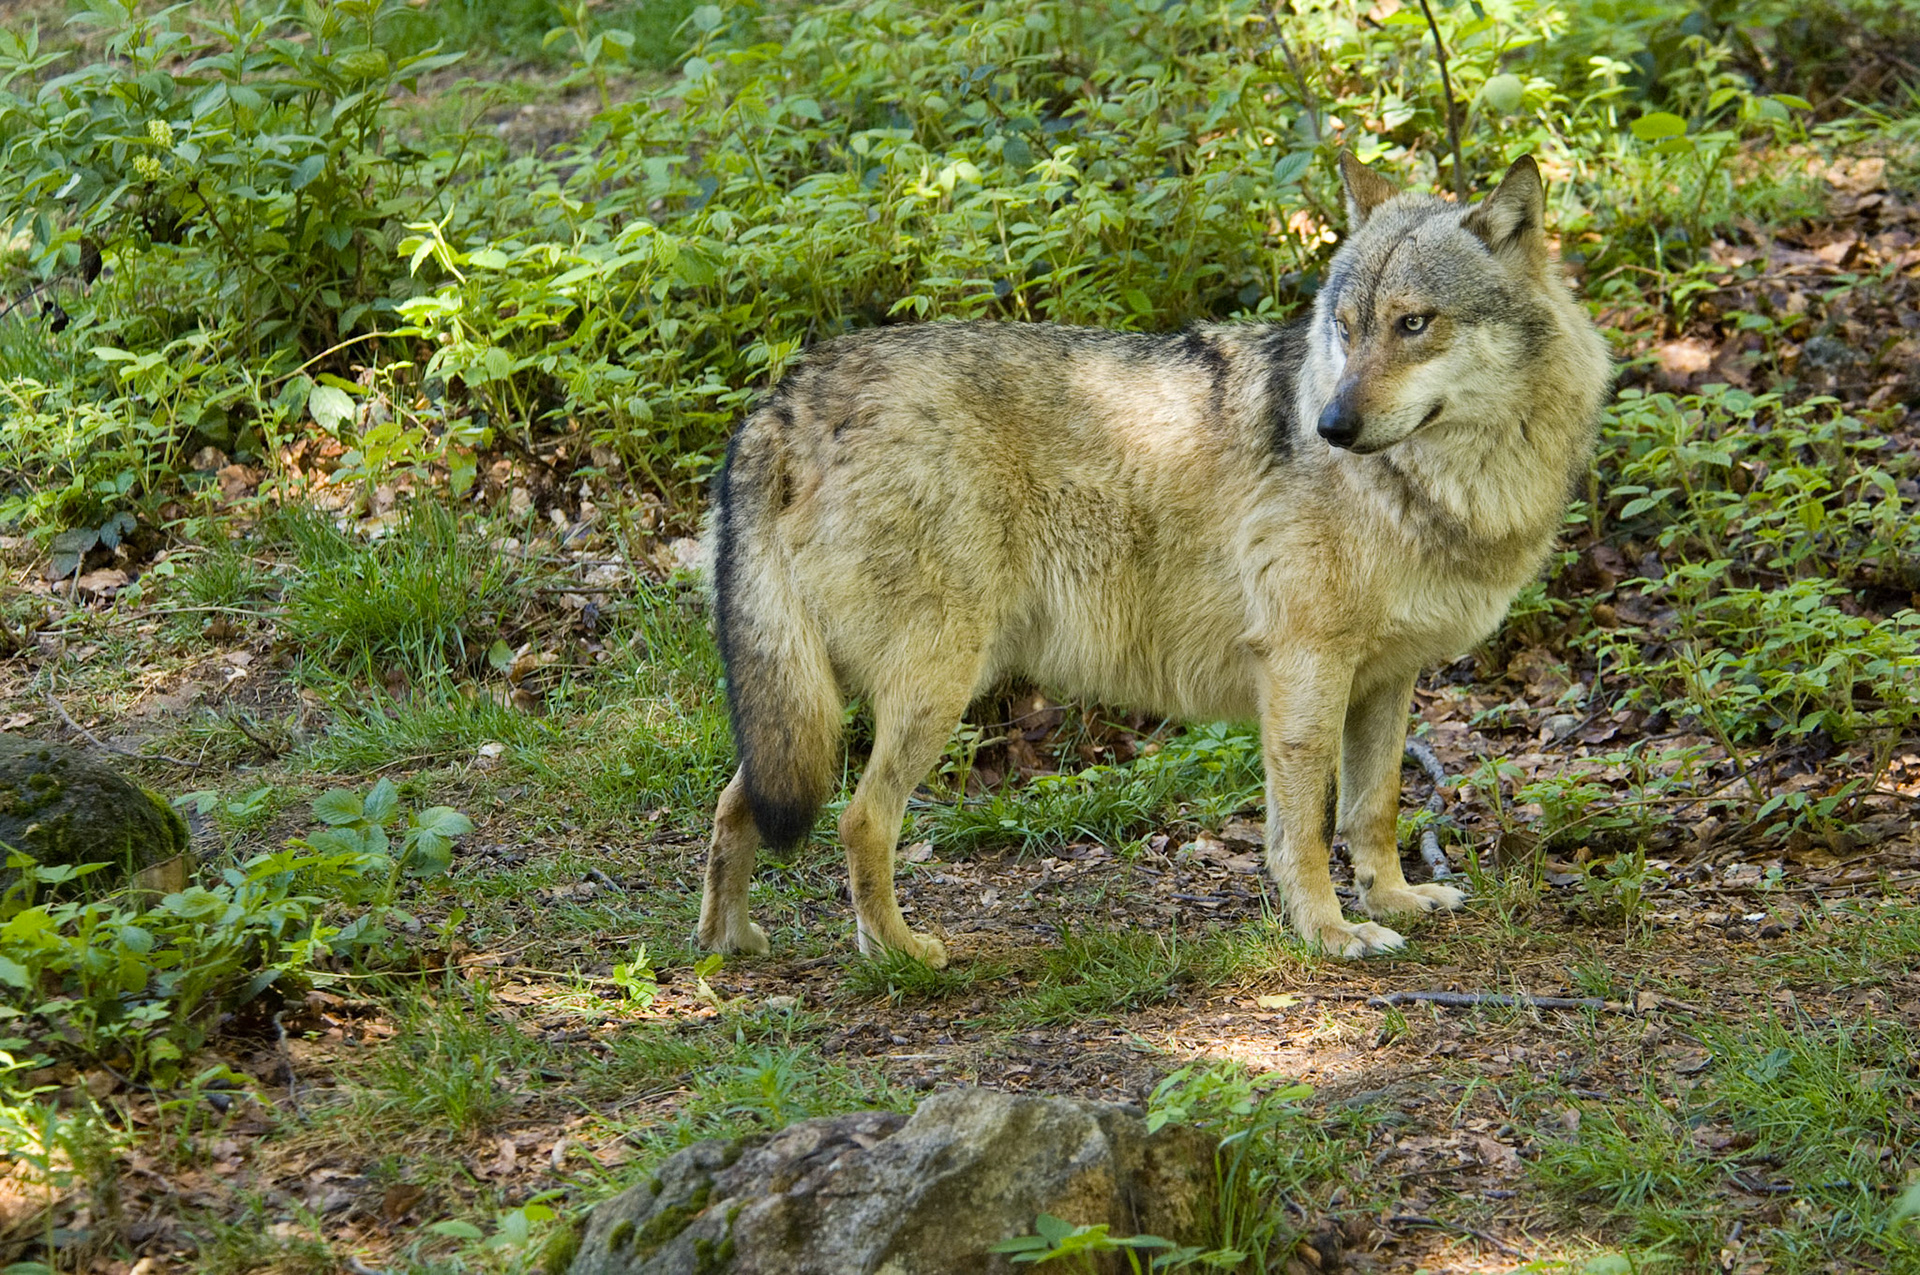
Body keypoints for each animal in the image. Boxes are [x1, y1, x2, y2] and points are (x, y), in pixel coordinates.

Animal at [696, 153, 1612, 965]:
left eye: (1413, 323)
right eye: (1347, 330)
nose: (1330, 426)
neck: (1443, 486)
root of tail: (786, 395)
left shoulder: (1387, 679)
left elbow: (1374, 808)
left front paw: (1392, 899)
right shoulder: (1304, 667)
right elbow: (1305, 828)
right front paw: (1331, 934)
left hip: (824, 698)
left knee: (739, 798)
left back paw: (727, 945)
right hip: (931, 688)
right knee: (859, 820)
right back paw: (898, 953)